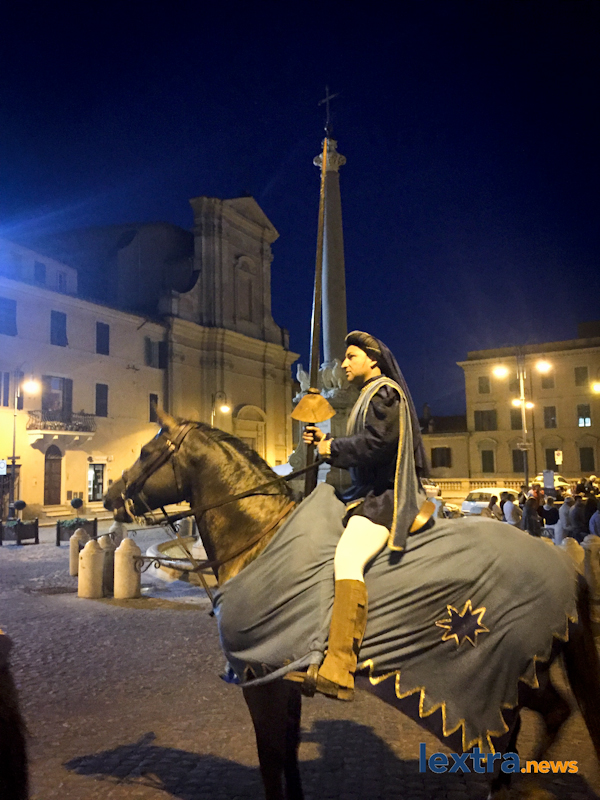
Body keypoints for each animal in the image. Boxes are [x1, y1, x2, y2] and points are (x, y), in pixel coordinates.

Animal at [104, 409, 600, 800]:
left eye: (146, 451)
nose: (109, 497)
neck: (261, 538)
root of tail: (565, 564)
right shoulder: (284, 677)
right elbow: (289, 751)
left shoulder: (260, 679)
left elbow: (271, 757)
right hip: (528, 671)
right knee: (551, 714)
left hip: (505, 674)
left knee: (517, 730)